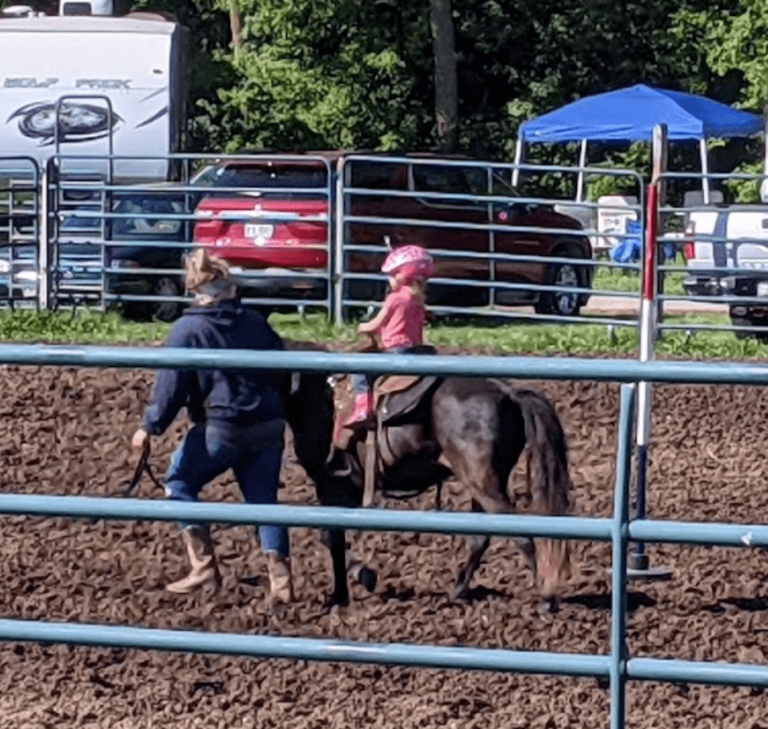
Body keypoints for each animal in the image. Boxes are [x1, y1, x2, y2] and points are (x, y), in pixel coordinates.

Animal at [280, 344, 572, 604]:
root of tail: (507, 392)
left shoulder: (330, 485)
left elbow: (330, 537)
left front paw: (351, 586)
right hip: (482, 483)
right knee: (480, 539)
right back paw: (458, 591)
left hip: (483, 483)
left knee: (521, 536)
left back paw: (546, 596)